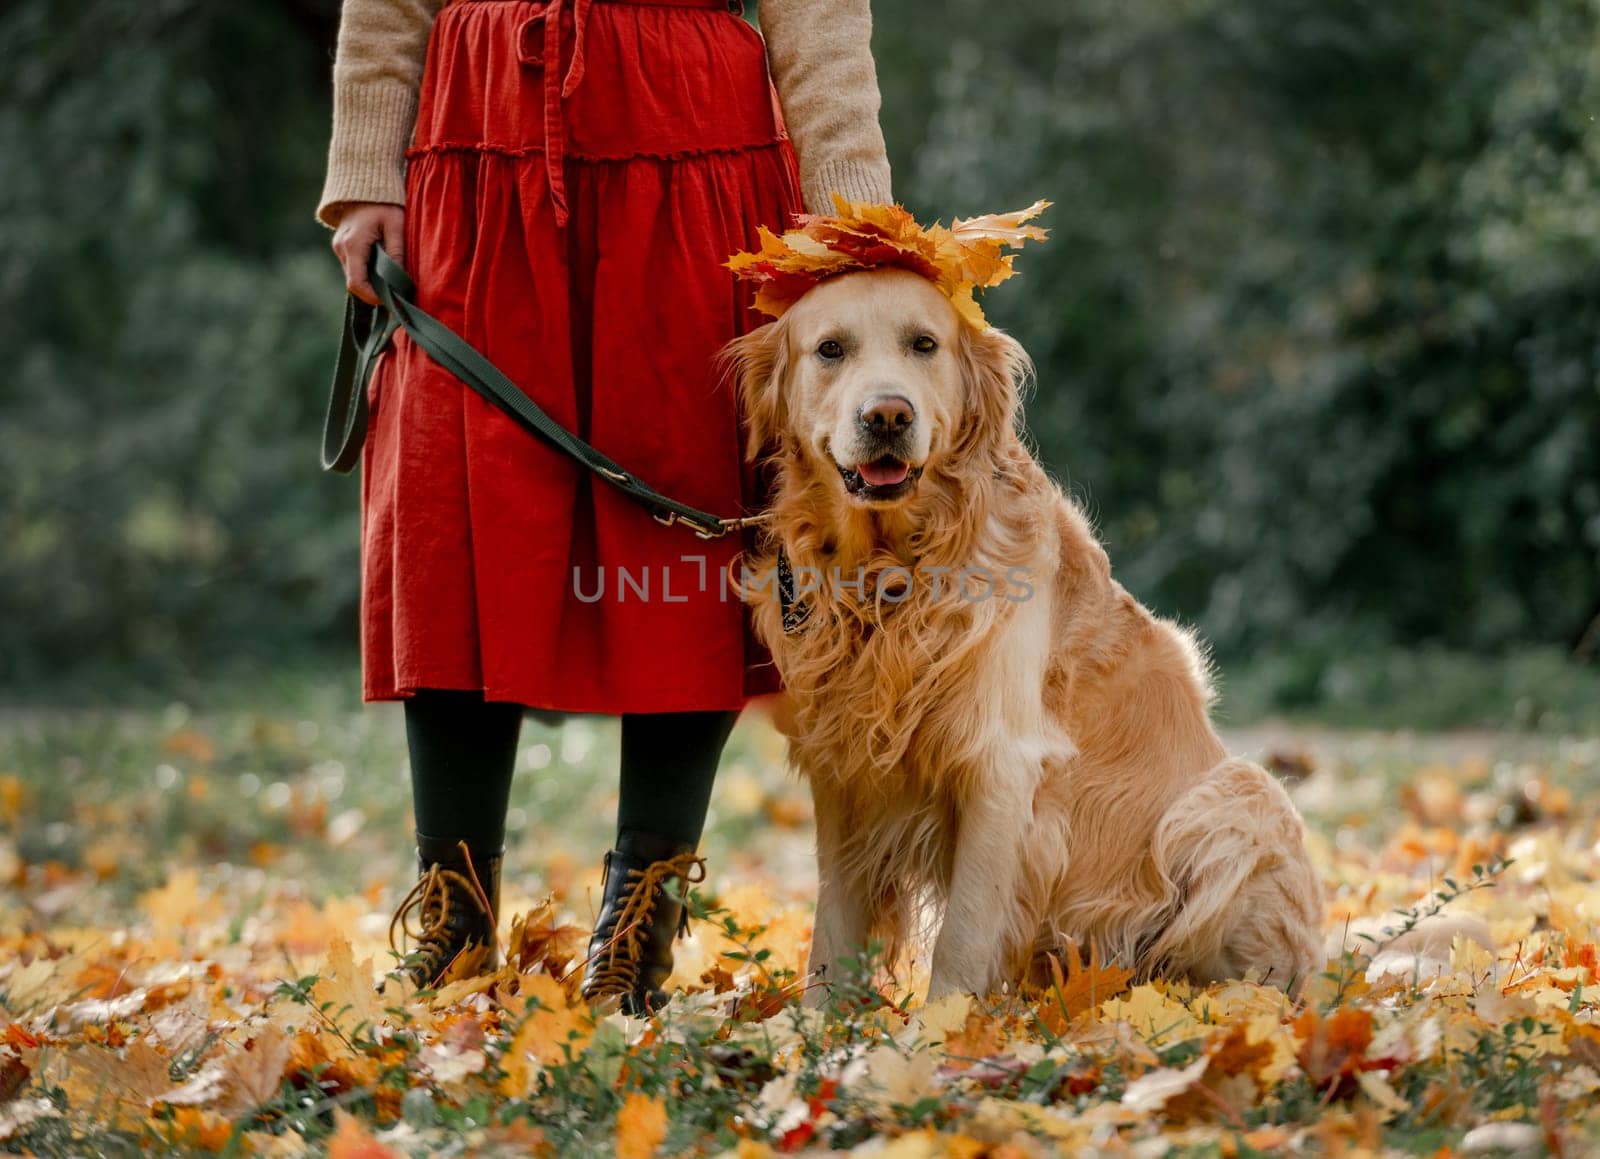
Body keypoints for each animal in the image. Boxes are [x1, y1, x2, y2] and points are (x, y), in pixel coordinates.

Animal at [726, 267, 1324, 998]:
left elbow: (961, 936)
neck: (891, 573)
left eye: (924, 344)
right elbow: (832, 933)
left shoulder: (1000, 764)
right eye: (830, 349)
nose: (888, 415)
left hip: (1239, 797)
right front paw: (817, 1024)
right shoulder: (842, 768)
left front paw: (941, 1025)